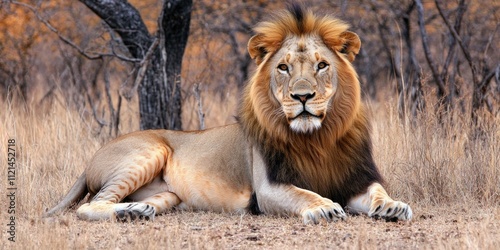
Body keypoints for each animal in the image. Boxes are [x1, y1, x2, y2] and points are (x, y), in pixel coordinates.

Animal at [46, 4, 414, 224]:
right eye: (283, 68)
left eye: (321, 65)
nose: (302, 96)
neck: (317, 137)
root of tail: (93, 157)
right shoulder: (268, 189)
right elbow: (303, 193)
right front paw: (323, 207)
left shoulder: (358, 177)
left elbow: (378, 191)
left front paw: (393, 206)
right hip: (148, 151)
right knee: (90, 205)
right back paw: (129, 213)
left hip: (169, 194)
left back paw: (139, 210)